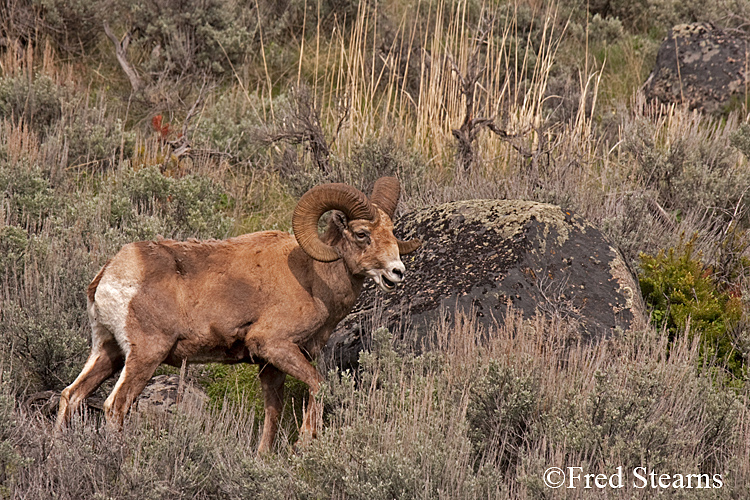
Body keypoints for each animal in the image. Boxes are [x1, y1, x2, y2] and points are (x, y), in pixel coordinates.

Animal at [55, 177, 420, 453]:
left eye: (391, 232)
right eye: (361, 234)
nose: (397, 272)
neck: (313, 278)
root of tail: (110, 274)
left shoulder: (270, 365)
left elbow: (273, 411)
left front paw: (264, 457)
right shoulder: (275, 346)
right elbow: (319, 385)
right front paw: (305, 443)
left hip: (108, 352)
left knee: (71, 396)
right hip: (145, 354)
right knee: (115, 406)